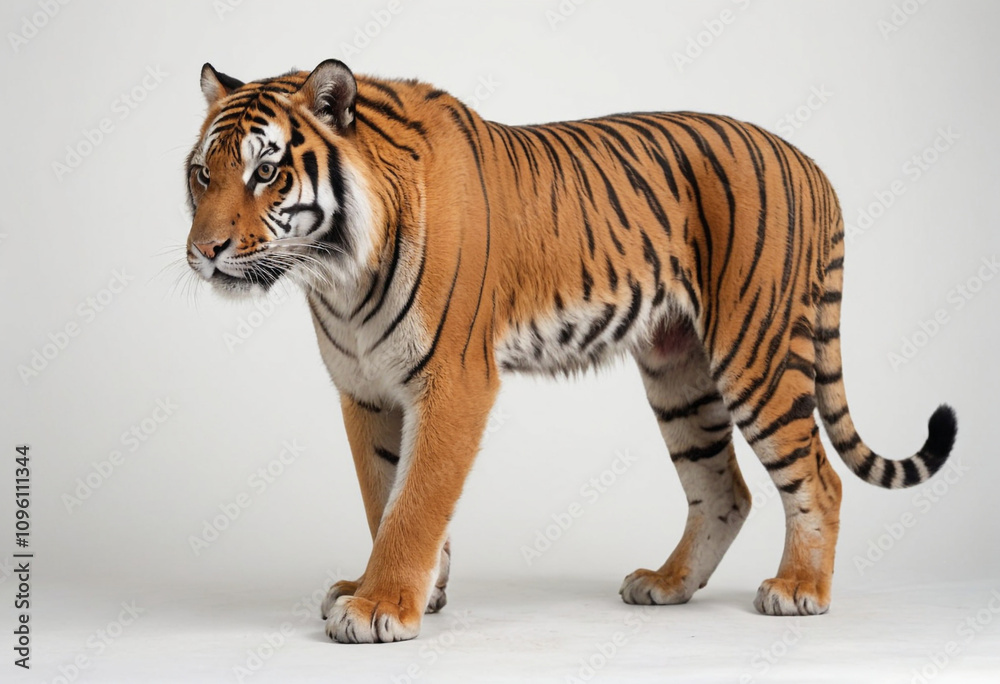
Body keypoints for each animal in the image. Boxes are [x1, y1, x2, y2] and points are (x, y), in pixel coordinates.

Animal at [184, 59, 958, 643]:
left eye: (265, 173)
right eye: (201, 174)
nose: (203, 252)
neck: (337, 272)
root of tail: (811, 164)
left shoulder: (454, 382)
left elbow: (416, 500)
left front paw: (380, 607)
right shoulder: (366, 390)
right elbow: (383, 494)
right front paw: (407, 591)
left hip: (755, 356)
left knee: (817, 479)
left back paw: (799, 590)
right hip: (678, 374)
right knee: (724, 490)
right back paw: (666, 584)